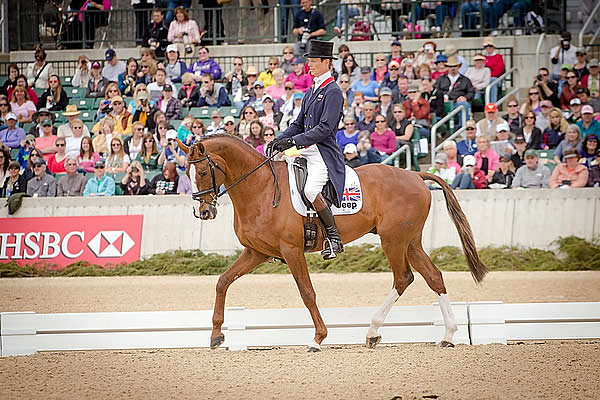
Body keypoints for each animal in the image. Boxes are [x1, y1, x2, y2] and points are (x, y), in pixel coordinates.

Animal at [180, 136, 490, 352]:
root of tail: (414, 174)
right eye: (186, 173)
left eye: (204, 173)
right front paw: (216, 335)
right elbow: (222, 281)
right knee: (433, 277)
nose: (202, 212)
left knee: (403, 277)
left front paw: (318, 339)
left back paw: (373, 332)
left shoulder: (291, 251)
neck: (261, 189)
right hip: (410, 241)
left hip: (393, 240)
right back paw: (447, 335)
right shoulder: (256, 252)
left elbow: (307, 293)